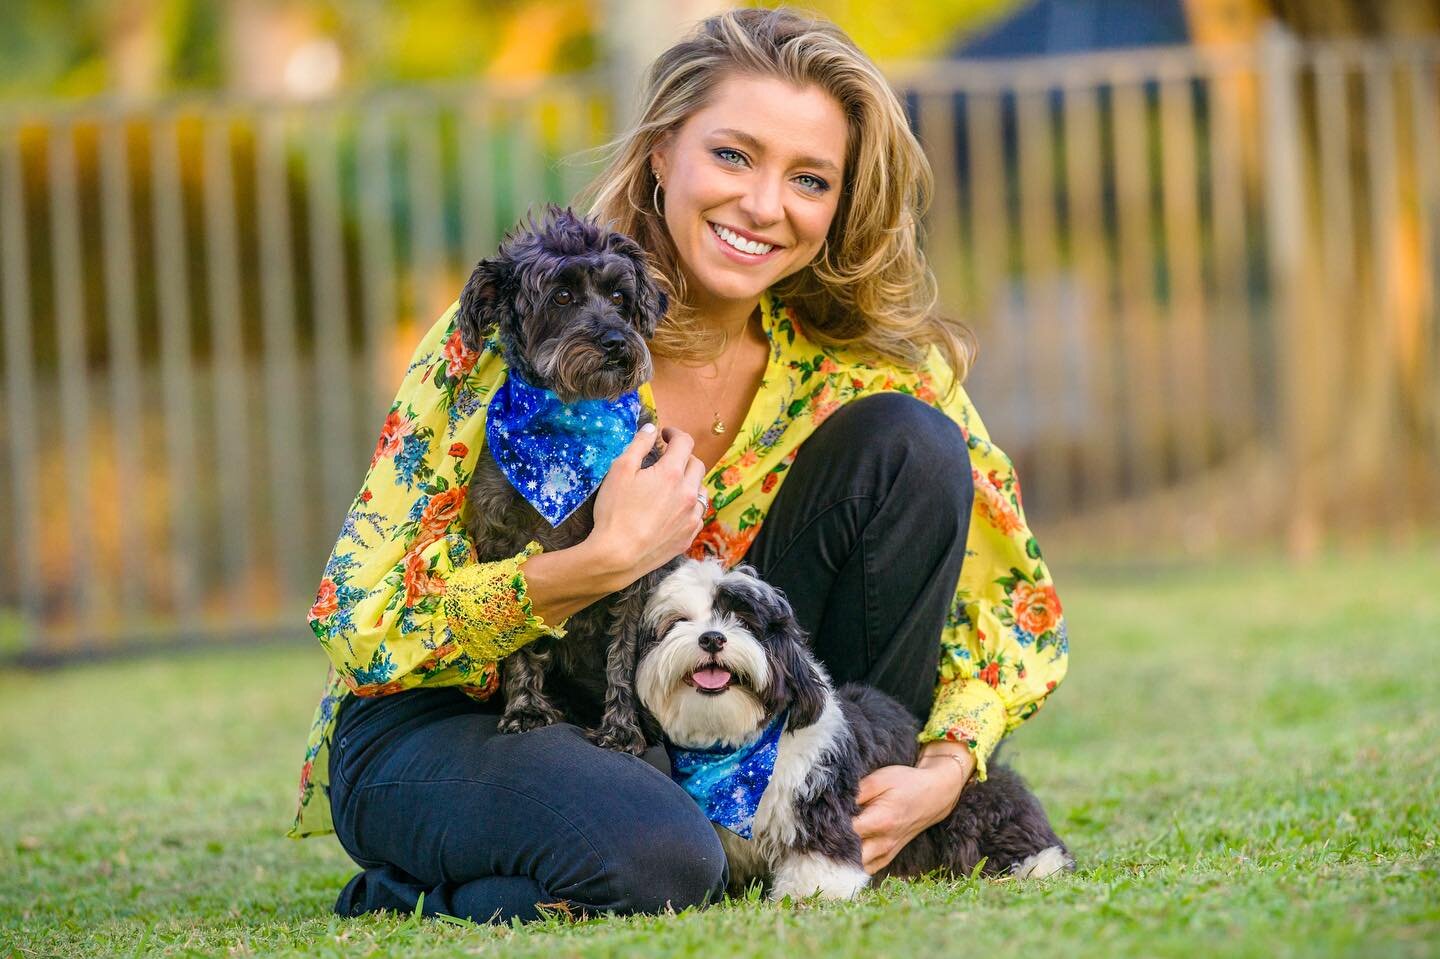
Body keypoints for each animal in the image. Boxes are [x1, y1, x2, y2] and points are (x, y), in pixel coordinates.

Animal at [636, 555, 1077, 898]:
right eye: (677, 622)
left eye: (742, 620)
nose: (712, 637)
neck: (734, 752)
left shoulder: (817, 792)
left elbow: (820, 847)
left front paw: (816, 888)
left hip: (972, 802)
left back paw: (1038, 863)